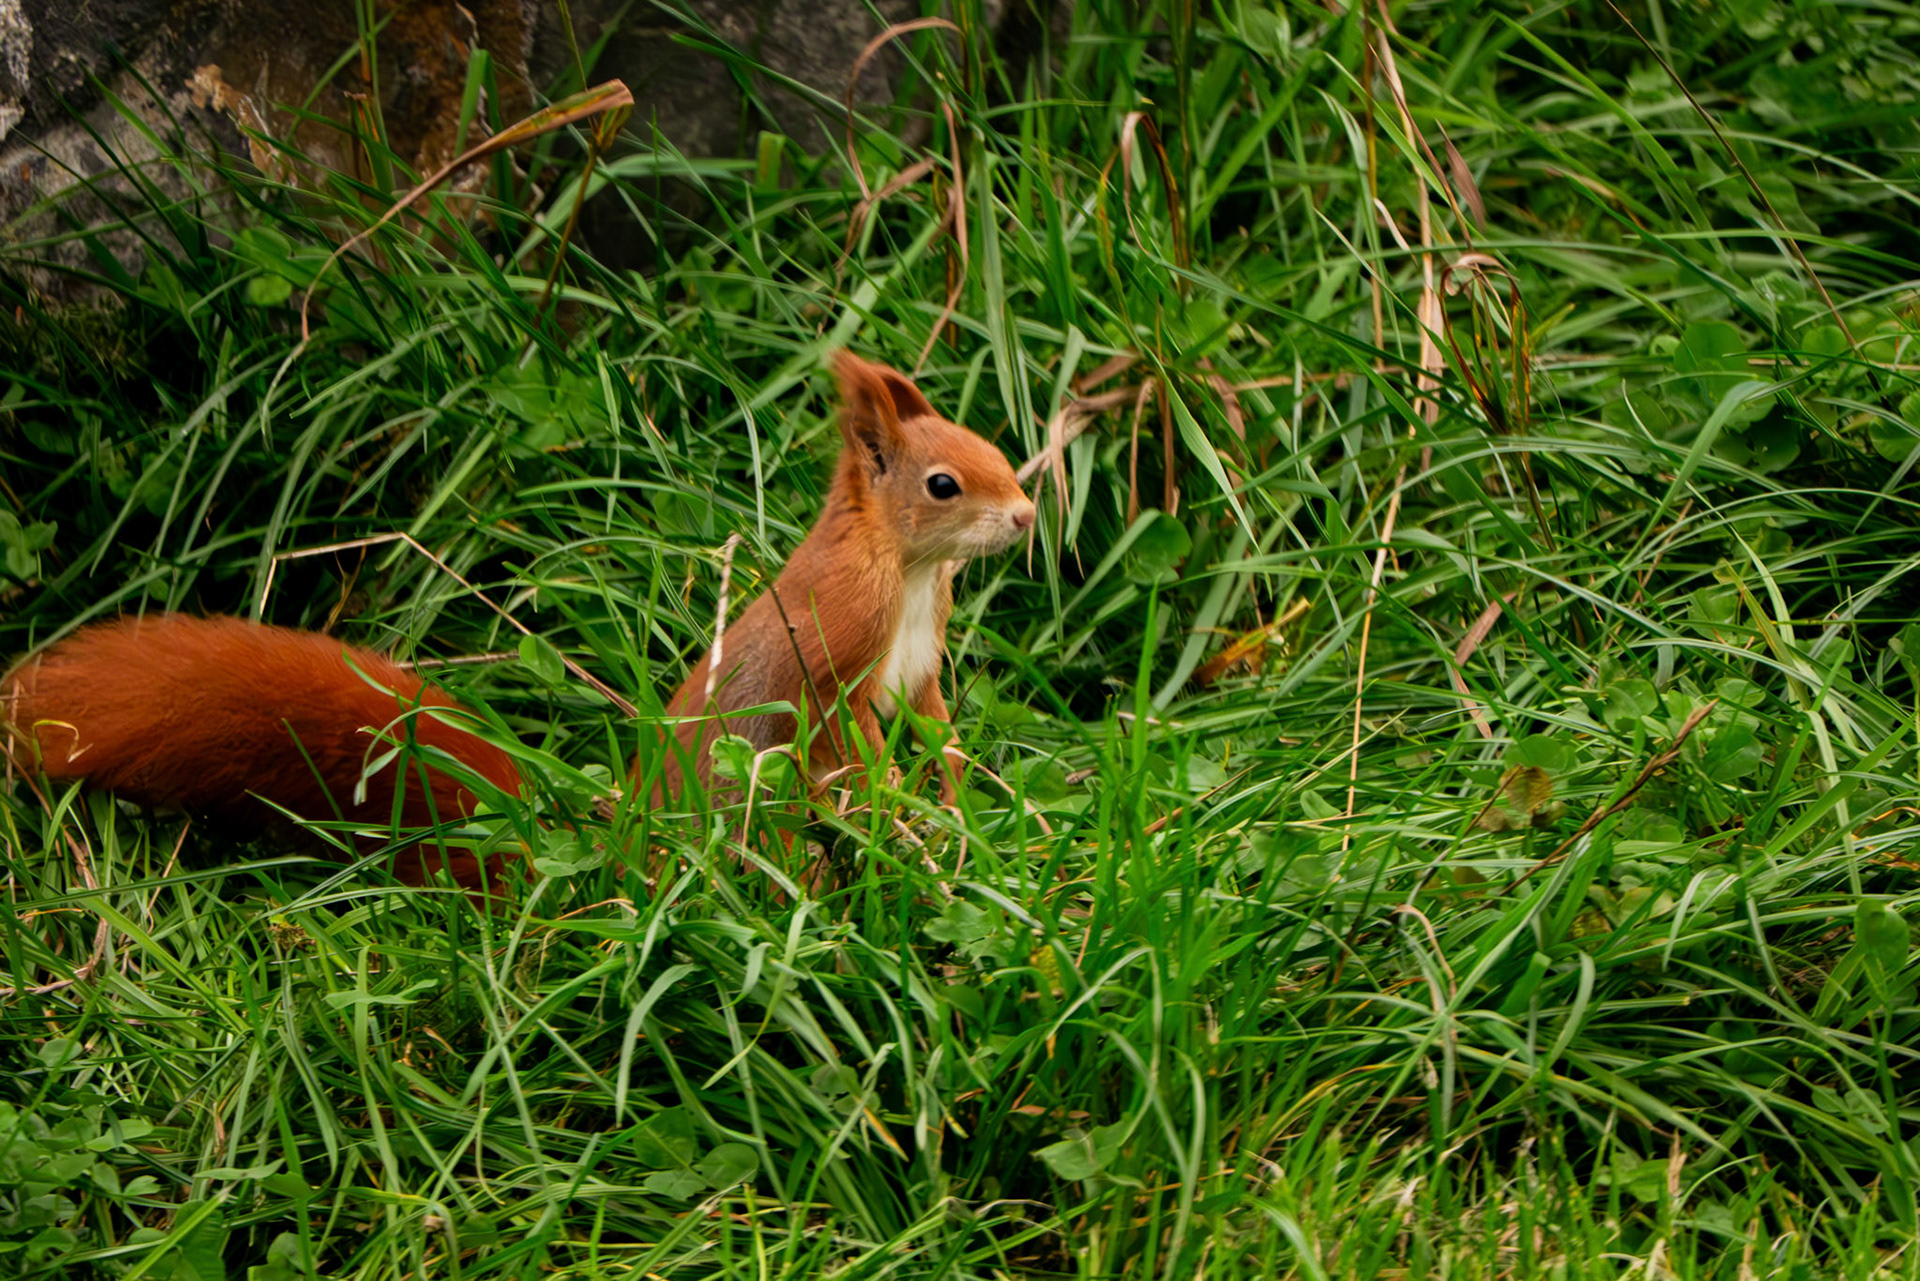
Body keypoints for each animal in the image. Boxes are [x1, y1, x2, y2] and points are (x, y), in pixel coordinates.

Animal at [2, 352, 1035, 885]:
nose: (1027, 515)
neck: (908, 569)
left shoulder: (922, 661)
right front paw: (904, 811)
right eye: (944, 483)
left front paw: (962, 803)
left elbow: (936, 725)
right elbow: (849, 734)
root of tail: (630, 857)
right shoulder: (838, 646)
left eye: (992, 446)